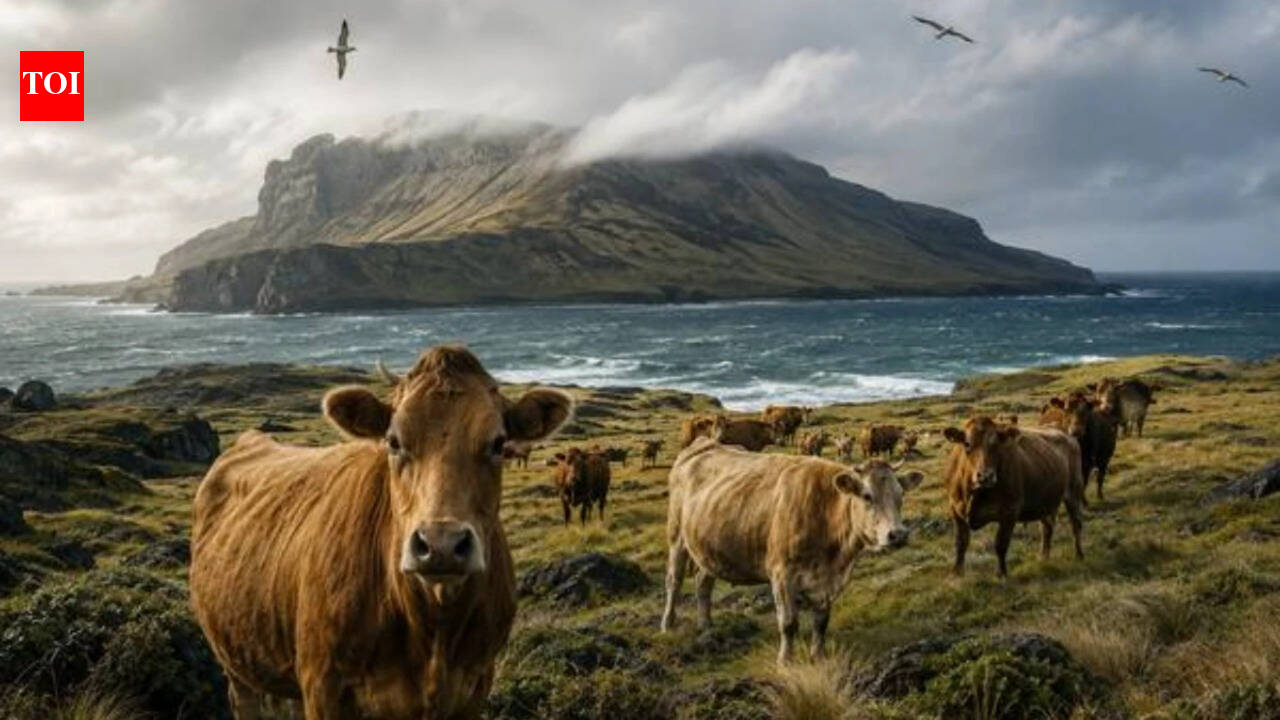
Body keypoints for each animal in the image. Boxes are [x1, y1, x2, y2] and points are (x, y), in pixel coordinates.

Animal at [189, 346, 573, 719]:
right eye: (393, 441)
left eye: (498, 443)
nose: (442, 545)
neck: (433, 631)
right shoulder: (323, 687)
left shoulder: (474, 685)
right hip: (234, 658)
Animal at [661, 438, 922, 662]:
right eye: (867, 496)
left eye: (901, 495)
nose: (898, 534)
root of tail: (703, 444)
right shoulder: (781, 574)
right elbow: (788, 623)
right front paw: (785, 661)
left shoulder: (826, 583)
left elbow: (821, 622)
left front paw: (818, 656)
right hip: (677, 536)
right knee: (674, 581)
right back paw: (667, 624)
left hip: (708, 548)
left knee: (703, 583)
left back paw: (706, 626)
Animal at [942, 416, 1085, 578]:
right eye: (967, 444)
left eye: (996, 444)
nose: (985, 476)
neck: (976, 492)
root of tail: (1065, 433)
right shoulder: (955, 508)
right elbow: (961, 542)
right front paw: (956, 572)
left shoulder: (1010, 511)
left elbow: (1001, 544)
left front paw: (1001, 573)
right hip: (1046, 501)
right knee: (1047, 527)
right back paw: (1043, 557)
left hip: (1073, 492)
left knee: (1076, 524)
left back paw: (1079, 555)